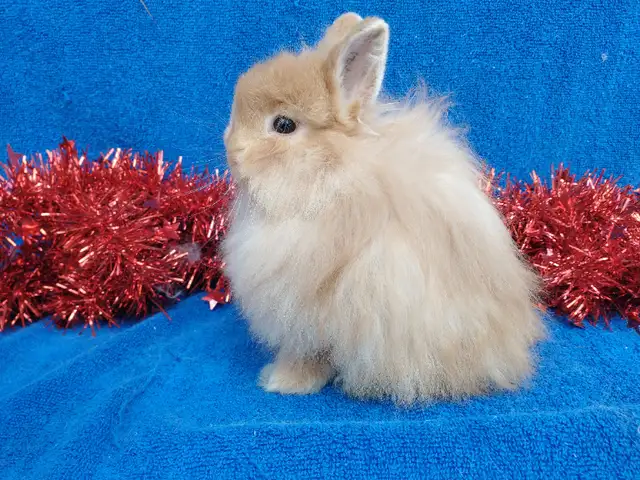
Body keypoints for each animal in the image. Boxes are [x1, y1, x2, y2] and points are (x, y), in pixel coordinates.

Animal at [222, 12, 545, 405]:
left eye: (283, 125)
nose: (231, 149)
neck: (330, 175)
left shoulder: (309, 310)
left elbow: (309, 353)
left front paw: (282, 381)